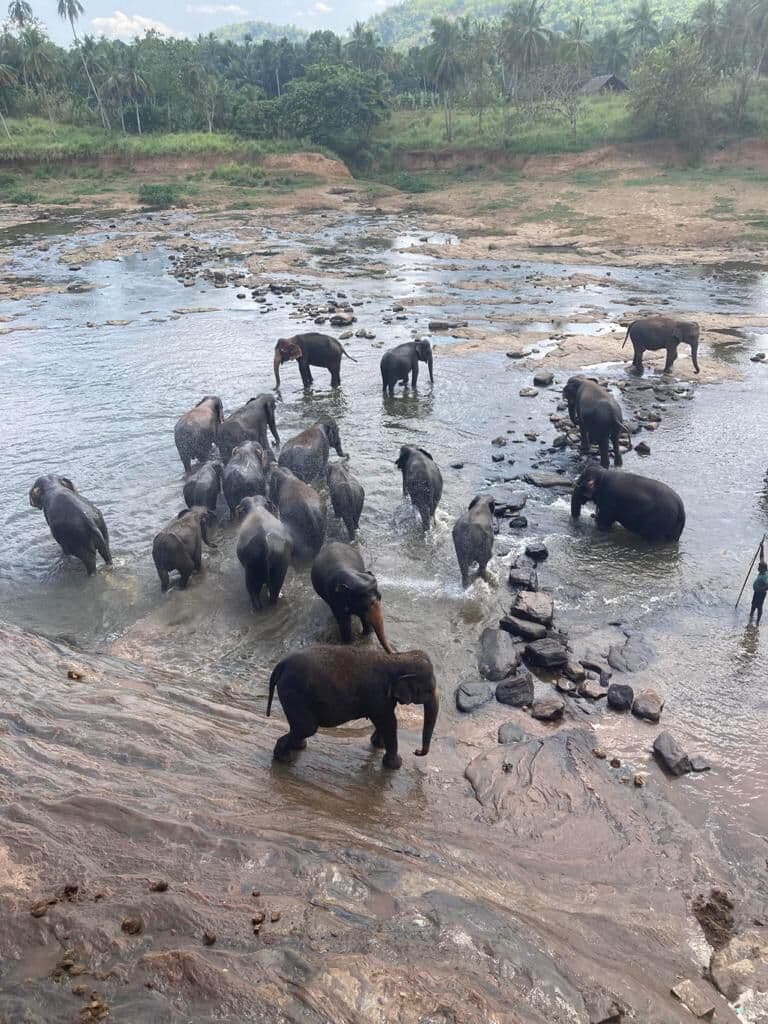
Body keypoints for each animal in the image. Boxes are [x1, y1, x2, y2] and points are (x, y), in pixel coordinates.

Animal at [267, 645, 439, 770]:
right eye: (429, 690)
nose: (416, 751)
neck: (397, 658)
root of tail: (281, 664)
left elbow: (385, 721)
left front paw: (379, 745)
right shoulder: (377, 695)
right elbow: (388, 722)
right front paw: (396, 765)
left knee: (300, 727)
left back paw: (297, 747)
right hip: (294, 692)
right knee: (307, 727)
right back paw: (284, 758)